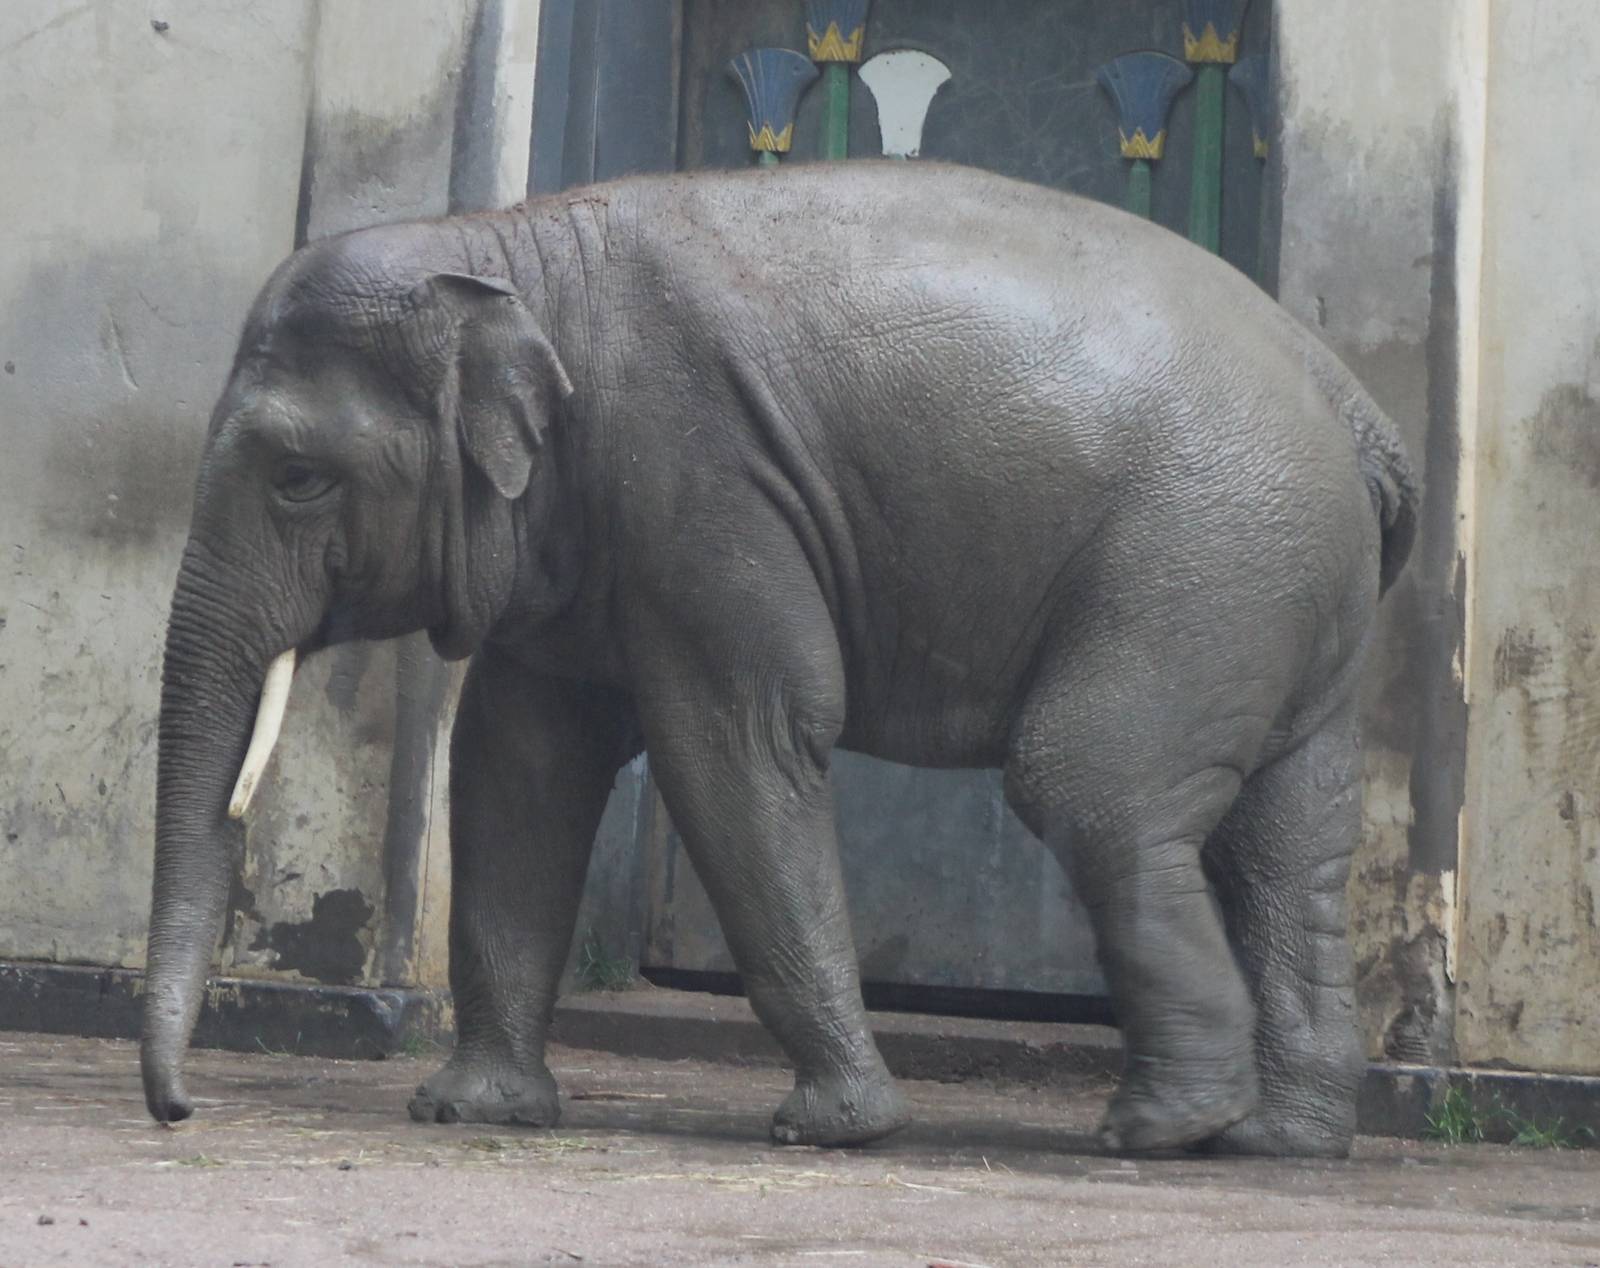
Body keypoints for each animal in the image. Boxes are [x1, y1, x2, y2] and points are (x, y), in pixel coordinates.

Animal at [140, 160, 1417, 1159]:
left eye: (297, 477)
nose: (182, 1107)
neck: (505, 244)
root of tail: (1361, 414)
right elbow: (520, 763)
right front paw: (470, 1111)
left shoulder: (702, 480)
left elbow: (738, 742)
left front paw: (836, 1126)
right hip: (1280, 590)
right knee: (1287, 834)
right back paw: (1280, 1137)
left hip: (1205, 554)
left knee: (1094, 784)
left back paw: (1160, 1128)